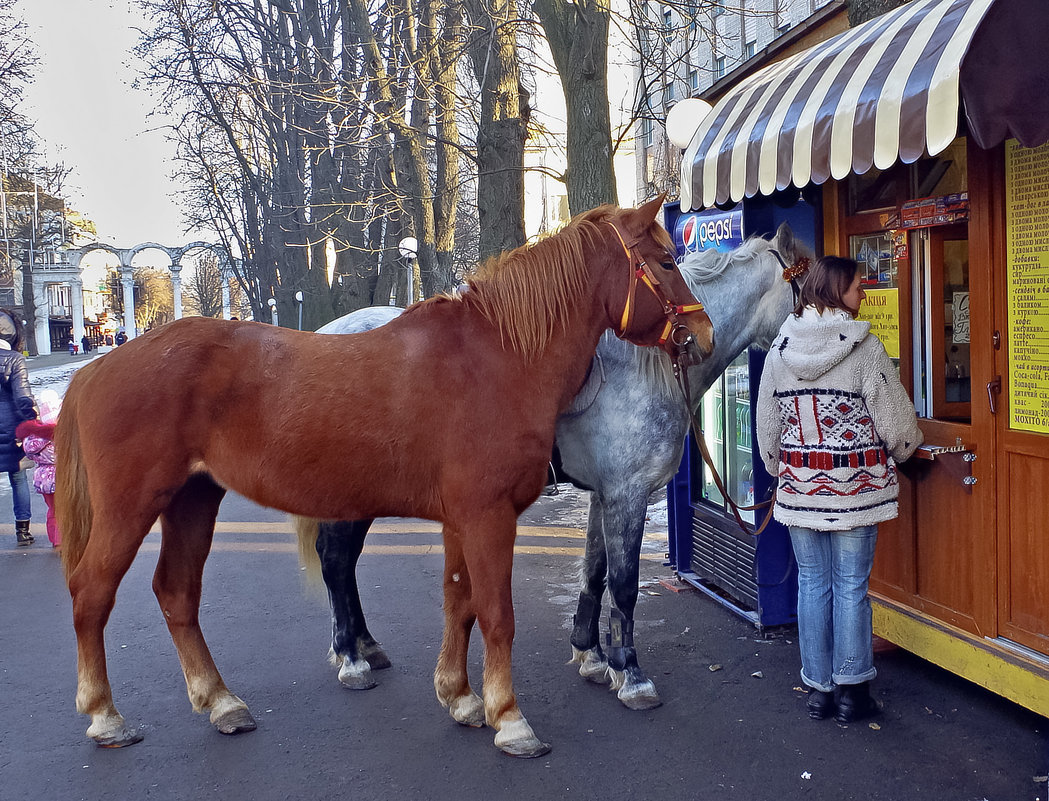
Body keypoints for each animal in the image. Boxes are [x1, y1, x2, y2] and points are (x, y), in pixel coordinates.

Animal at [55, 196, 713, 759]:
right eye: (664, 261)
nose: (702, 335)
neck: (497, 358)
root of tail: (97, 368)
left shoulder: (463, 518)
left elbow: (459, 601)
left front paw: (460, 697)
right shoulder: (488, 515)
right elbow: (496, 612)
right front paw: (509, 718)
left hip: (193, 499)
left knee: (177, 592)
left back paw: (220, 702)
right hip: (133, 505)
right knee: (92, 592)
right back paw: (106, 716)